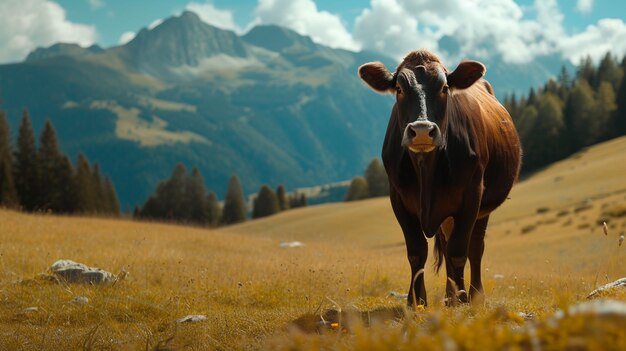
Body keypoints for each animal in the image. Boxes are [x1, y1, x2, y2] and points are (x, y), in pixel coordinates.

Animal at [358, 49, 520, 308]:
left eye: (444, 88)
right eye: (399, 88)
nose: (422, 130)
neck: (427, 170)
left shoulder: (472, 195)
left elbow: (459, 251)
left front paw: (462, 300)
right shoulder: (398, 199)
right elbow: (416, 251)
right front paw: (416, 301)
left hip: (482, 207)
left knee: (475, 247)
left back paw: (473, 295)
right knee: (446, 243)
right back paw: (449, 295)